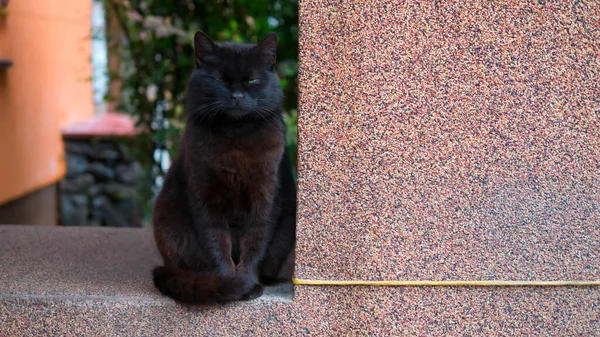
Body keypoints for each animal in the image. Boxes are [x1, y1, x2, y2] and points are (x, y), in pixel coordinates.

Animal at [151, 31, 296, 304]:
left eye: (252, 79)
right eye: (219, 79)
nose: (236, 96)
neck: (235, 134)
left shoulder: (265, 196)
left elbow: (255, 241)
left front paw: (247, 281)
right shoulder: (205, 196)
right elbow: (216, 242)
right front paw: (231, 284)